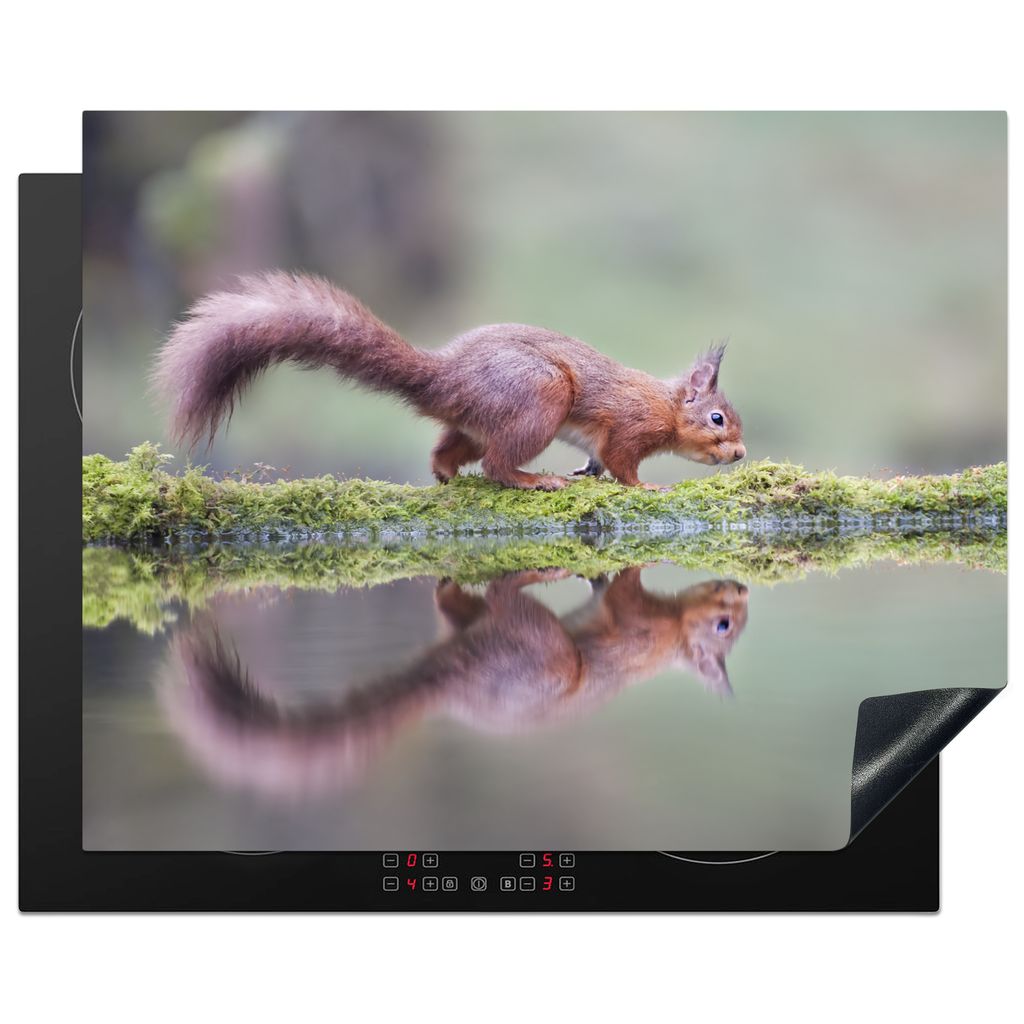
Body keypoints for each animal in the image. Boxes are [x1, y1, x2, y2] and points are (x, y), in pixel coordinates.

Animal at [154, 272, 745, 489]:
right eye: (718, 419)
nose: (740, 454)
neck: (666, 405)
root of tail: (448, 378)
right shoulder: (628, 426)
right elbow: (622, 462)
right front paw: (644, 485)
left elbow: (597, 460)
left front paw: (587, 473)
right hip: (540, 400)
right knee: (497, 465)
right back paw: (532, 480)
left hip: (473, 424)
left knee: (449, 450)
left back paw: (445, 475)